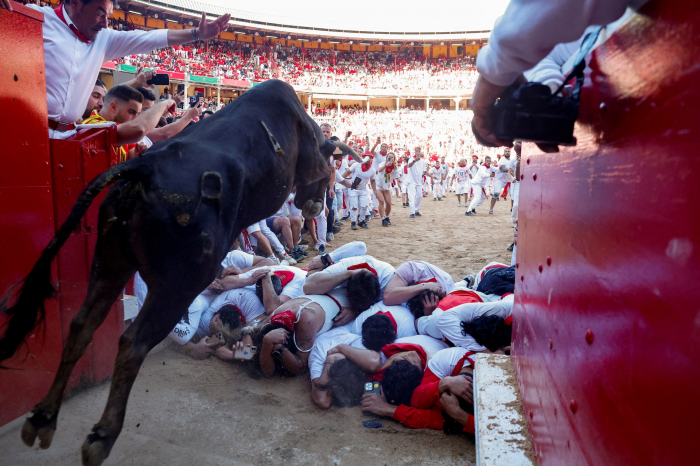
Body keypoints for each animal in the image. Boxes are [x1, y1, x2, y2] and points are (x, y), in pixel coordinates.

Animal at [0, 80, 360, 466]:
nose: (315, 203)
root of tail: (143, 166)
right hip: (179, 283)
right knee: (131, 342)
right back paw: (101, 436)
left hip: (110, 261)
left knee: (82, 324)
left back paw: (42, 418)